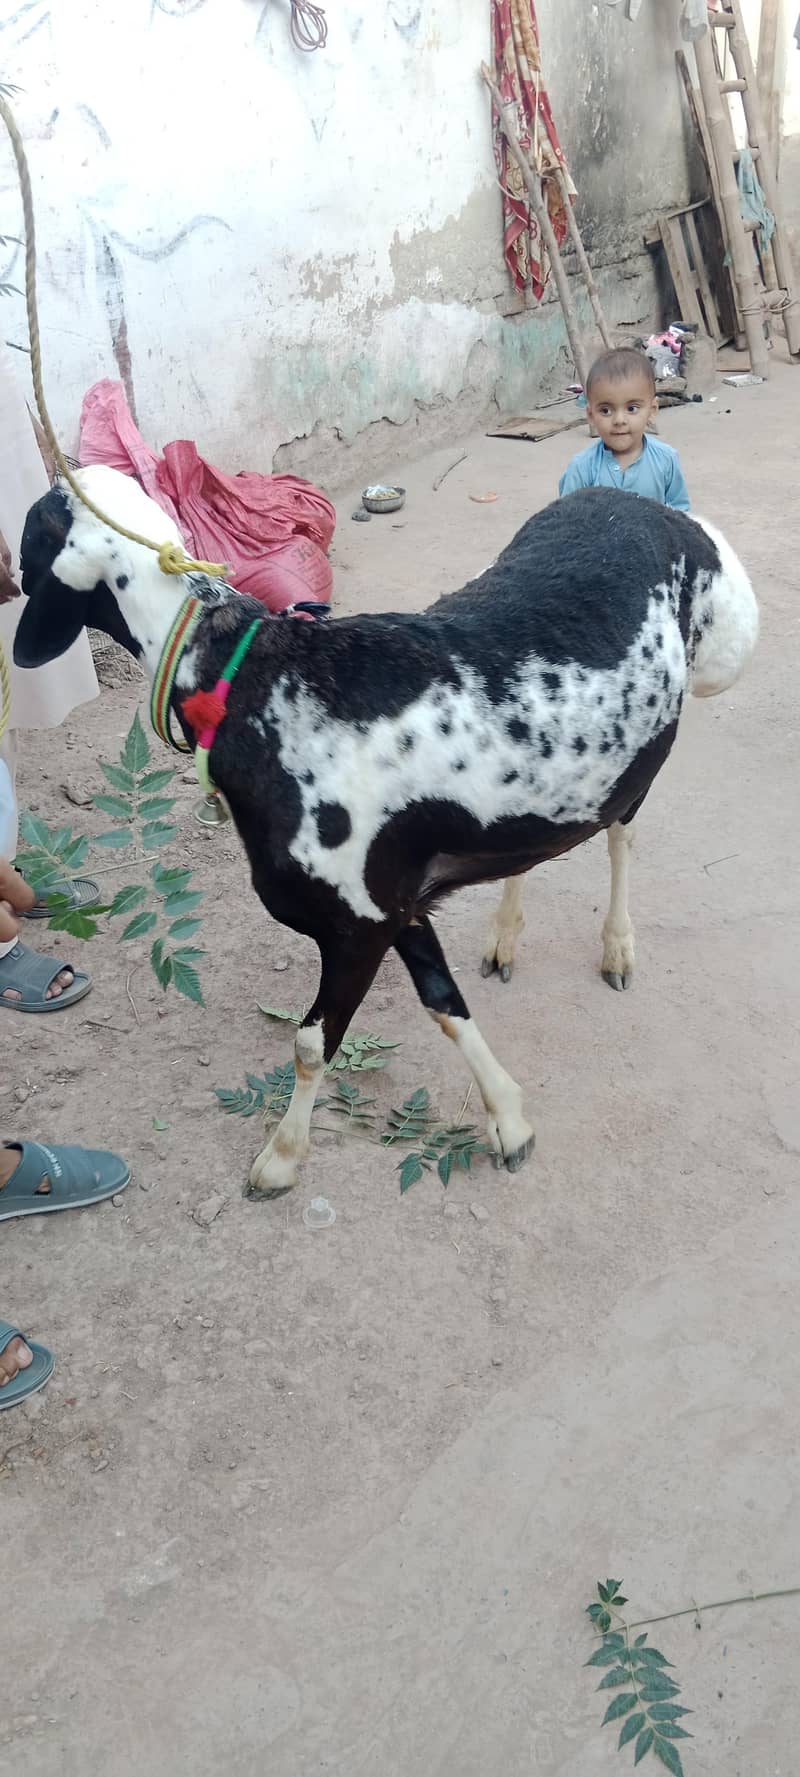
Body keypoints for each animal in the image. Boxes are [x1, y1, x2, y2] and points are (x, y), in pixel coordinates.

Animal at [15, 465, 758, 1200]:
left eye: (26, 537)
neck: (253, 685)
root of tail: (649, 508)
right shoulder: (393, 902)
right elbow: (444, 1002)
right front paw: (510, 1122)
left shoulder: (358, 923)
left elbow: (312, 1044)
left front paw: (280, 1160)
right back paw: (505, 936)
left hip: (669, 727)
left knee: (622, 835)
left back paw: (617, 949)